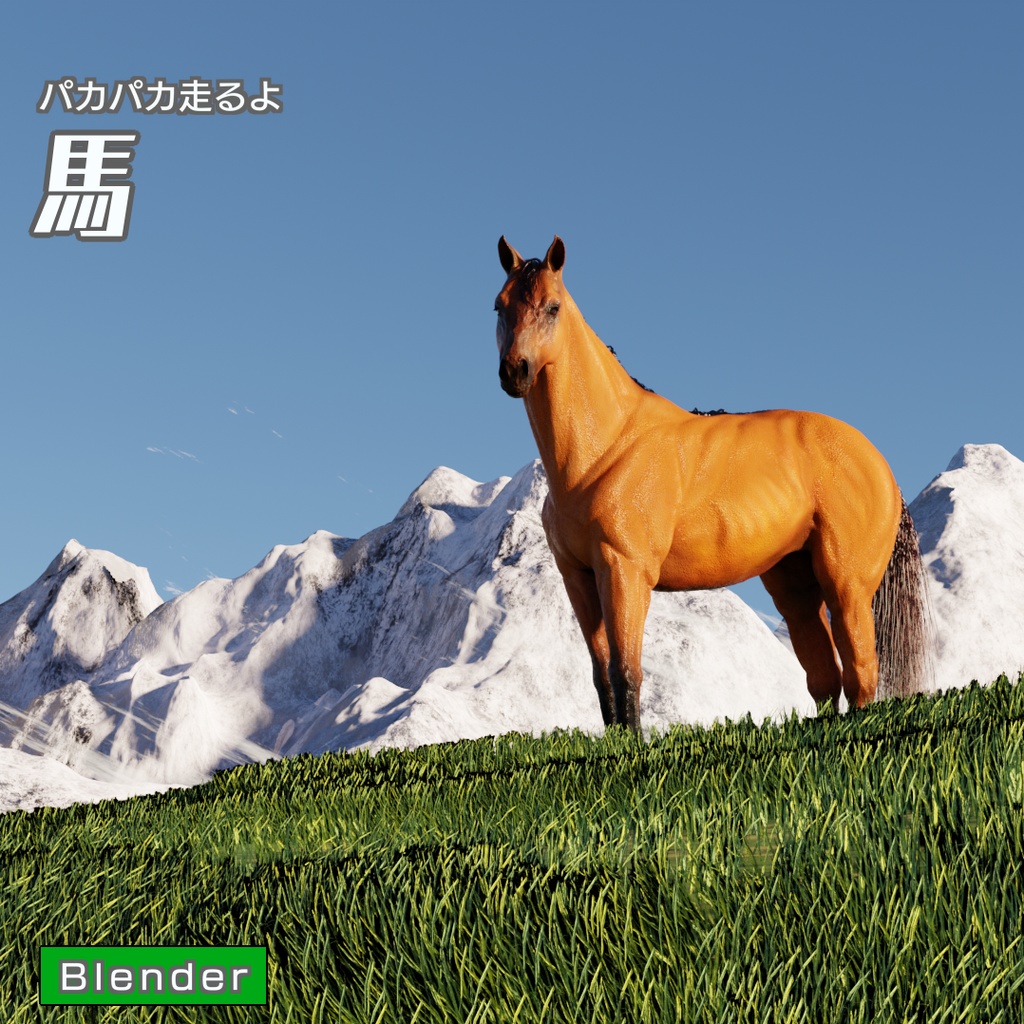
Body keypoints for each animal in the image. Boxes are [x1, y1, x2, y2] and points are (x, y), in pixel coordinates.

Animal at [494, 235, 930, 730]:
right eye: (499, 306)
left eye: (552, 307)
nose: (515, 371)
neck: (605, 449)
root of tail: (879, 465)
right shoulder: (578, 578)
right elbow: (602, 675)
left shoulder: (625, 571)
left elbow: (627, 671)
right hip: (796, 587)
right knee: (824, 677)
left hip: (847, 587)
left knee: (861, 674)